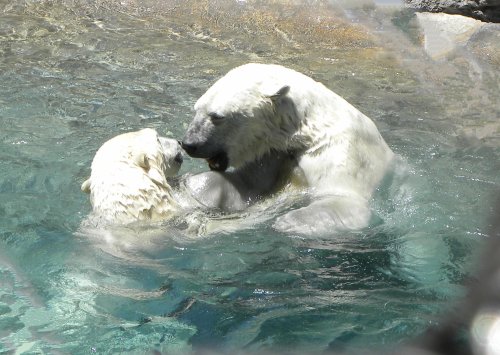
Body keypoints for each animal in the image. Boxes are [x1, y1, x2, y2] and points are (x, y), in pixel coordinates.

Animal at [182, 63, 396, 236]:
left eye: (217, 116)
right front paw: (196, 184)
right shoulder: (273, 152)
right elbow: (247, 186)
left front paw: (284, 222)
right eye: (196, 109)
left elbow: (346, 201)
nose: (189, 144)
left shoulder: (344, 151)